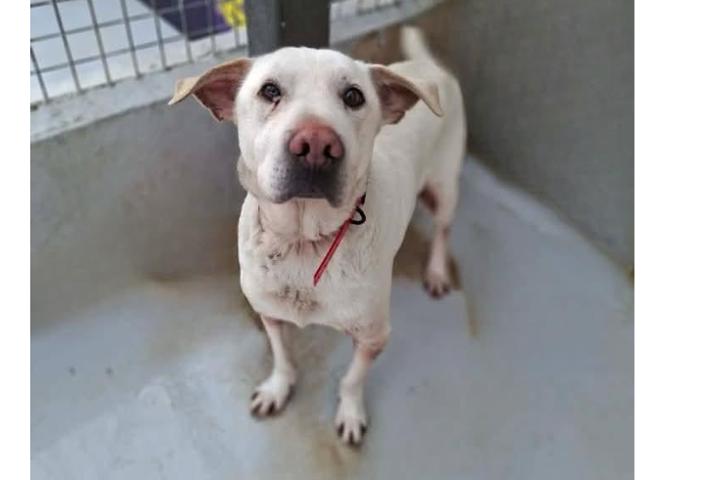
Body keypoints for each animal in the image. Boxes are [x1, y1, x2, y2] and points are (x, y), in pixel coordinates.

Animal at [169, 27, 466, 445]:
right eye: (269, 91)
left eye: (354, 96)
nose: (316, 145)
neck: (303, 241)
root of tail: (430, 67)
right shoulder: (269, 313)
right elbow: (282, 357)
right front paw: (278, 387)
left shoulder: (374, 337)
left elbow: (353, 380)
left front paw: (351, 412)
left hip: (445, 187)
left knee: (443, 229)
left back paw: (437, 270)